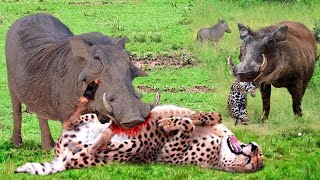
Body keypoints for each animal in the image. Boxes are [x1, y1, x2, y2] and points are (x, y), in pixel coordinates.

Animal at [15, 79, 262, 175]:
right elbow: (197, 117)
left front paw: (166, 124)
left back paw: (107, 133)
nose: (254, 148)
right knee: (74, 118)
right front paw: (200, 117)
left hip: (126, 149)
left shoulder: (167, 150)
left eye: (255, 162)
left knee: (95, 145)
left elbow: (188, 122)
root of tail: (64, 158)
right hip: (88, 122)